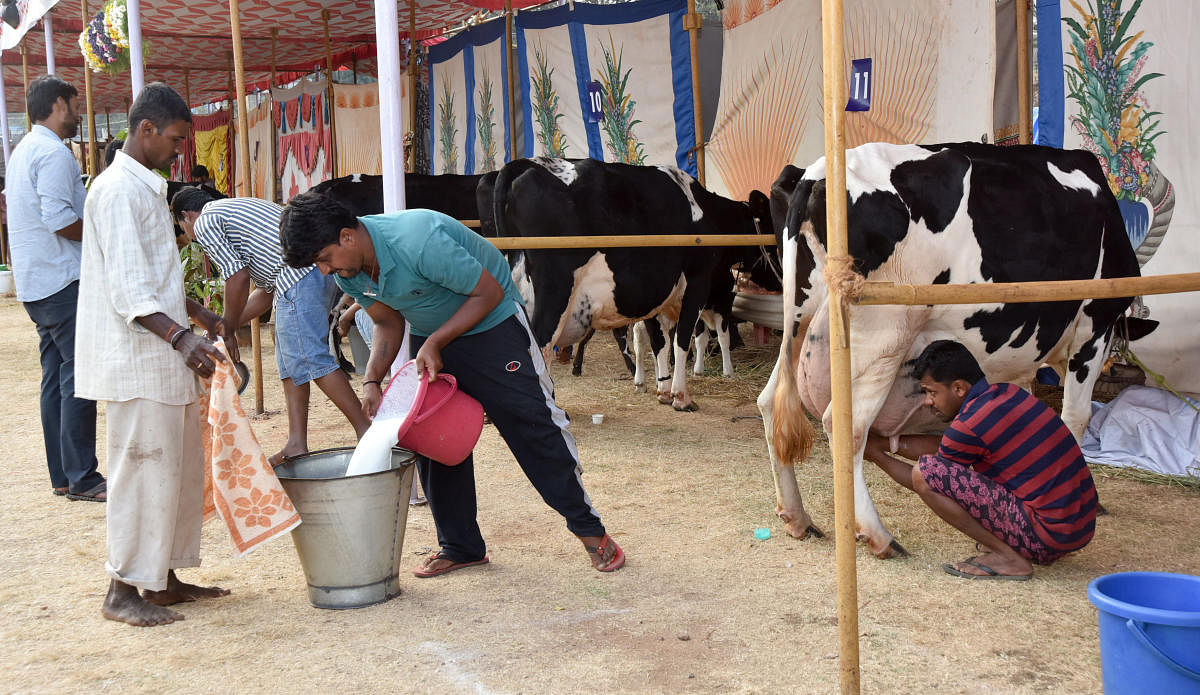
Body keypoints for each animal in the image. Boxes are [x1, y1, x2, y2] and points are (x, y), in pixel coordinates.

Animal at [492, 154, 772, 410]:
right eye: (770, 221)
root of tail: (529, 163)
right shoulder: (697, 282)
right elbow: (682, 340)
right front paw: (681, 397)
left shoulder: (655, 293)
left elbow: (660, 342)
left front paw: (663, 390)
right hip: (556, 291)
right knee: (540, 345)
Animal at [758, 144, 1142, 556]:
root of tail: (815, 172)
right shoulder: (1096, 323)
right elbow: (1075, 416)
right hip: (885, 330)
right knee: (846, 424)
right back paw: (879, 535)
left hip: (799, 320)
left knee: (772, 402)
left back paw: (797, 517)